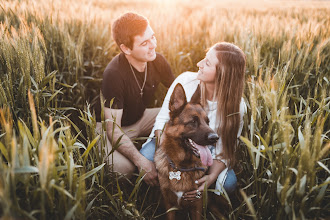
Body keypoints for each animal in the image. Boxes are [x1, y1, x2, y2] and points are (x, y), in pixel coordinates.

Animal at [155, 83, 219, 219]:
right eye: (193, 121)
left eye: (207, 122)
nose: (215, 138)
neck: (182, 167)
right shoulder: (169, 205)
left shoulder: (197, 206)